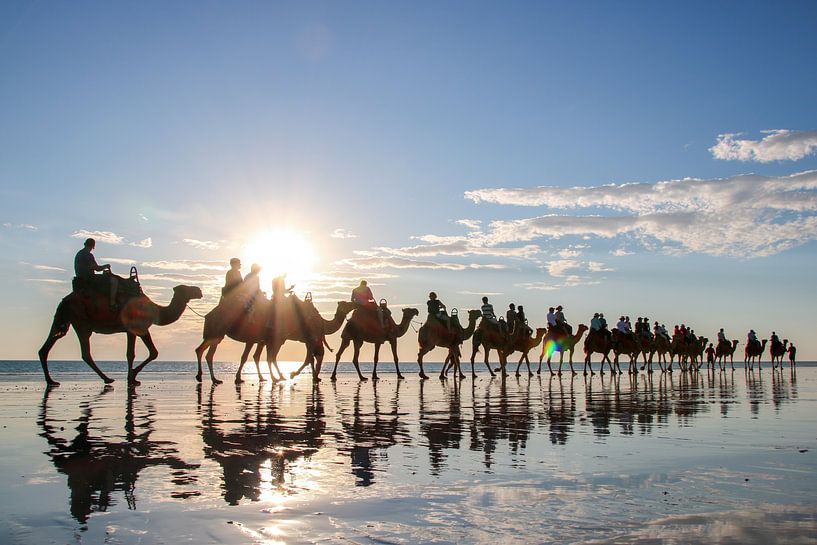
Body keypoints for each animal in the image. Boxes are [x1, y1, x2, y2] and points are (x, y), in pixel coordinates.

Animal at [37, 282, 204, 384]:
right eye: (186, 288)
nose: (199, 290)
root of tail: (65, 300)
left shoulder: (132, 330)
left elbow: (132, 353)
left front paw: (132, 377)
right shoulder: (139, 328)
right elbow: (149, 353)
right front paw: (133, 376)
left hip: (64, 319)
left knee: (47, 346)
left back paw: (51, 380)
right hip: (81, 322)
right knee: (85, 353)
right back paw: (107, 379)